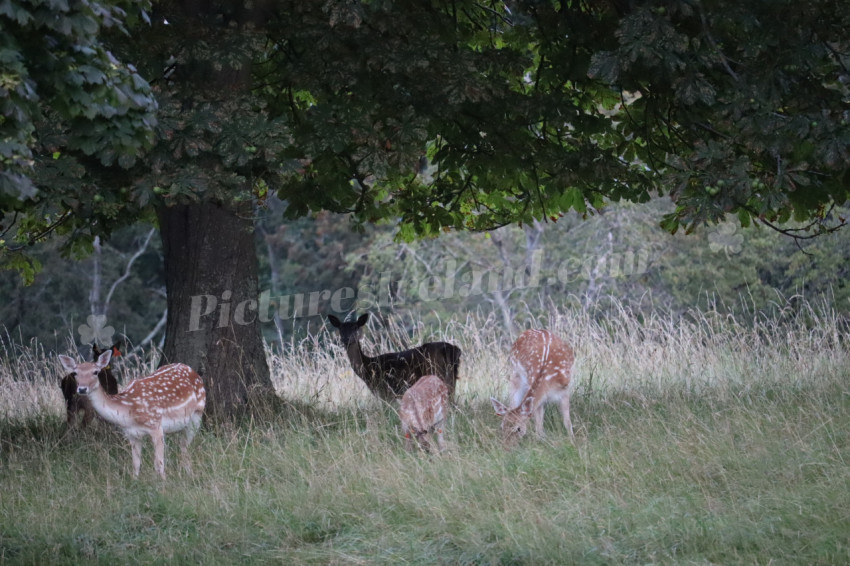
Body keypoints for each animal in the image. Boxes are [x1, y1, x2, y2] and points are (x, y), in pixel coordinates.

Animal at [58, 349, 206, 480]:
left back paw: (189, 474)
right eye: (75, 373)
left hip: (197, 415)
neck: (129, 411)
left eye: (95, 372)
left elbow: (158, 463)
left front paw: (163, 484)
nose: (82, 389)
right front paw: (135, 481)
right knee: (182, 445)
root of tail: (192, 370)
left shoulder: (156, 426)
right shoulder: (132, 434)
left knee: (184, 446)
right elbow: (135, 464)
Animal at [327, 313, 461, 403]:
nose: (346, 339)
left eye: (355, 327)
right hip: (451, 376)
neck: (368, 368)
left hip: (438, 373)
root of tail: (452, 349)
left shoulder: (386, 391)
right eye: (340, 329)